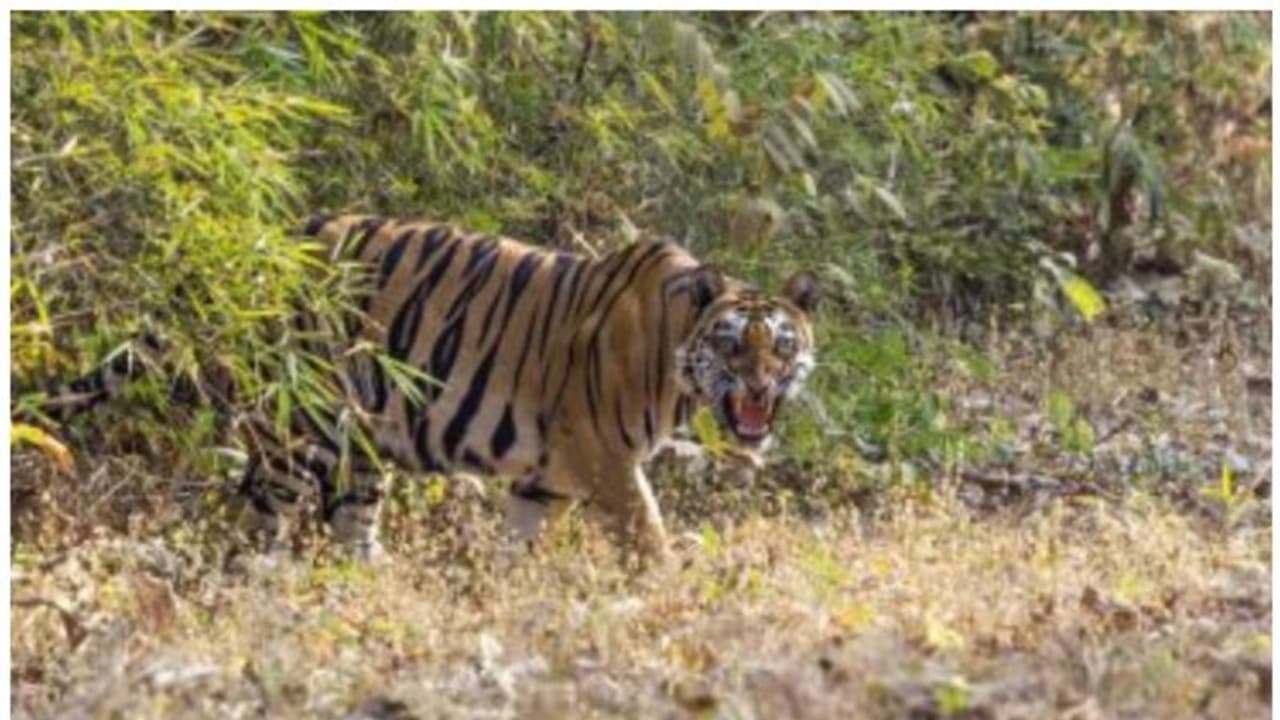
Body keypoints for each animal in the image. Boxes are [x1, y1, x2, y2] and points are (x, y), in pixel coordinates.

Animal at [21, 214, 818, 563]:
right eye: (730, 344)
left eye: (782, 345)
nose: (761, 384)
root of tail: (276, 233)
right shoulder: (608, 464)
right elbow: (649, 541)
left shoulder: (547, 481)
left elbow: (517, 553)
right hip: (295, 427)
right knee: (257, 521)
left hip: (361, 444)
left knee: (348, 525)